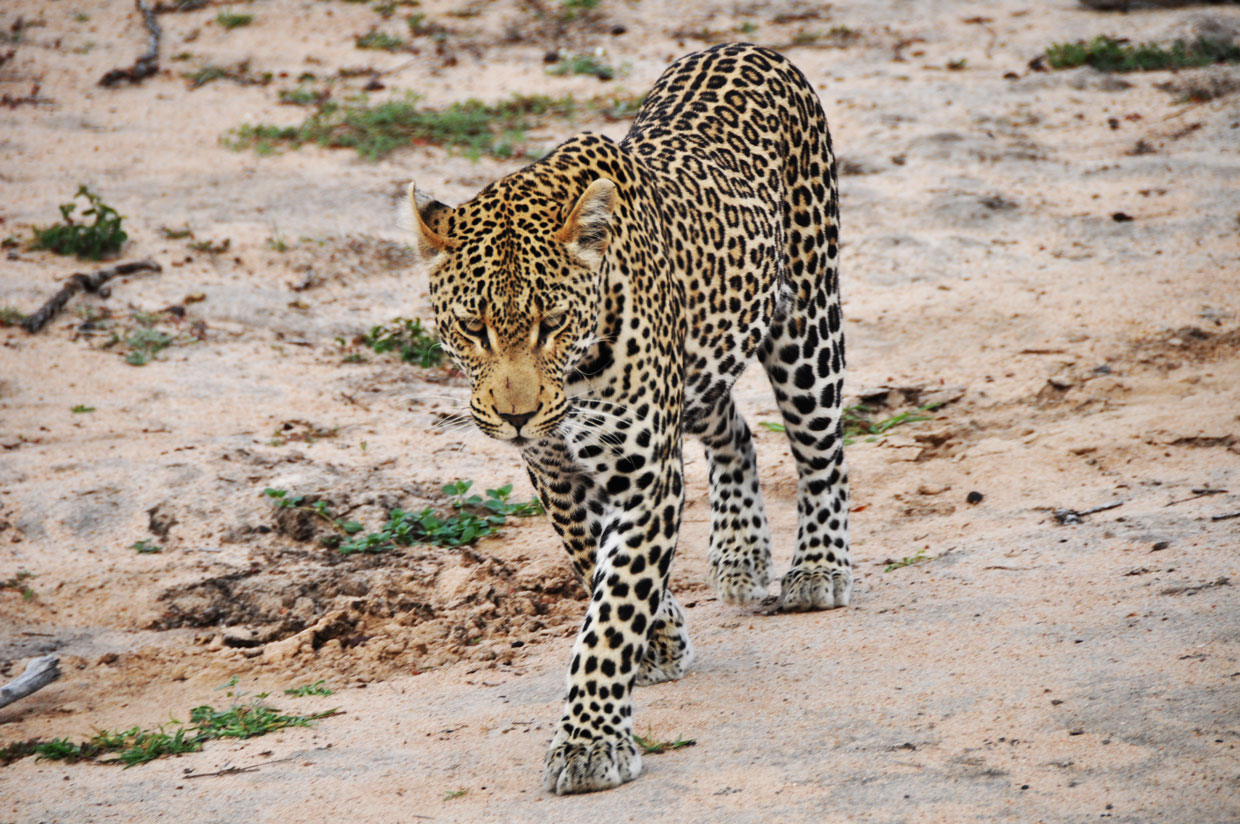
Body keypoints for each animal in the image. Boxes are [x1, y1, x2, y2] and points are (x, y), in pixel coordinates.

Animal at [405, 42, 851, 795]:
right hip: (701, 366)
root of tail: (747, 46)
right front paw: (662, 635)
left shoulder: (646, 476)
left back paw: (817, 567)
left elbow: (611, 613)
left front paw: (589, 742)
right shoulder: (556, 474)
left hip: (807, 323)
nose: (517, 416)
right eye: (472, 328)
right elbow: (597, 567)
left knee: (820, 450)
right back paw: (739, 553)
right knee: (736, 433)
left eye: (552, 323)